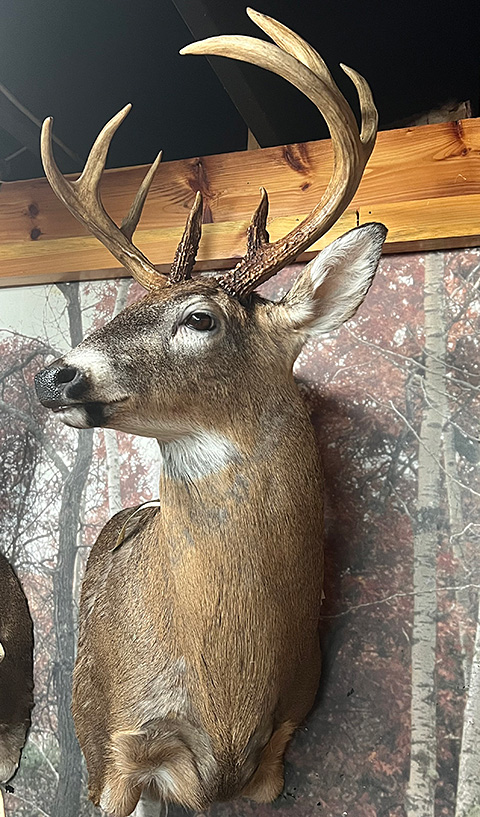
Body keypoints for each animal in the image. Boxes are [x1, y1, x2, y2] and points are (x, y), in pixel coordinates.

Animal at [34, 9, 387, 816]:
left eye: (200, 318)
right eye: (125, 306)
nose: (53, 375)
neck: (228, 687)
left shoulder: (280, 754)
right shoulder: (121, 749)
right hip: (83, 721)